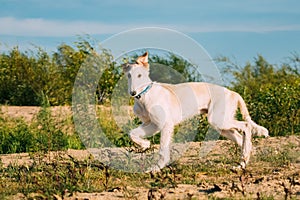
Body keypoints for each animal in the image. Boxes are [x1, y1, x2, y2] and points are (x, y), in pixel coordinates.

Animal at [123, 52, 268, 173]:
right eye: (129, 76)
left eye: (140, 75)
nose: (133, 93)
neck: (145, 95)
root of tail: (233, 92)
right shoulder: (152, 124)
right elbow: (132, 133)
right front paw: (145, 145)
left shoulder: (166, 124)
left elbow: (163, 149)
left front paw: (156, 168)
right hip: (221, 125)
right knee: (240, 137)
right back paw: (241, 164)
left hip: (218, 120)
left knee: (246, 126)